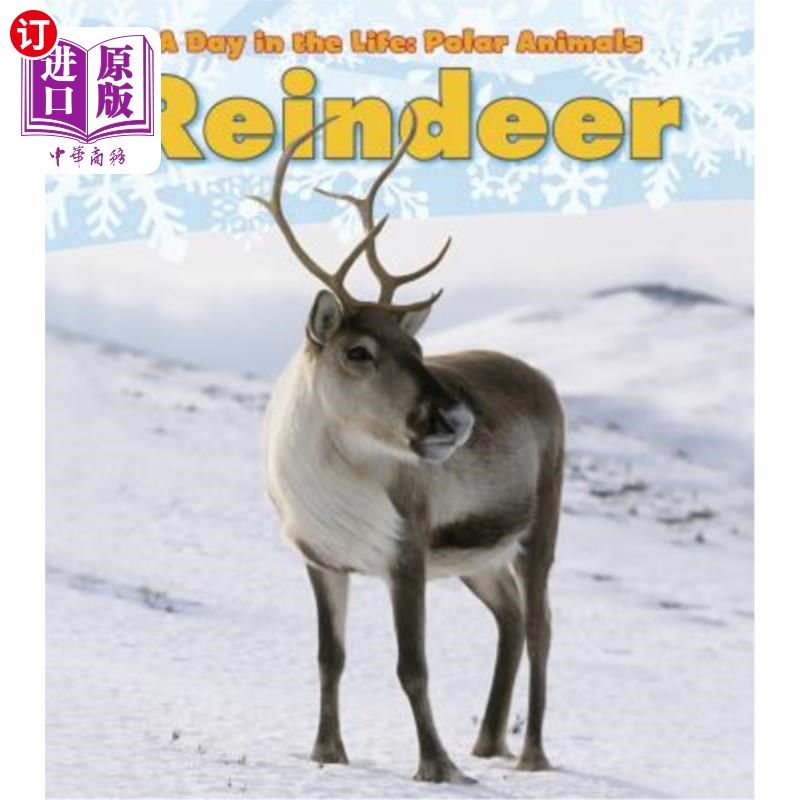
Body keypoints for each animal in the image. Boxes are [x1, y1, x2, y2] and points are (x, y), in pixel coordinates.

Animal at [253, 109, 565, 784]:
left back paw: (530, 754)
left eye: (417, 349)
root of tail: (542, 379)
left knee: (540, 626)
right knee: (507, 616)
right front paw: (327, 752)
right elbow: (330, 657)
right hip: (477, 558)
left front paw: (438, 766)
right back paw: (488, 741)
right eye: (358, 351)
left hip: (539, 530)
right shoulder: (323, 559)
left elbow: (412, 666)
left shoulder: (408, 552)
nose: (456, 417)